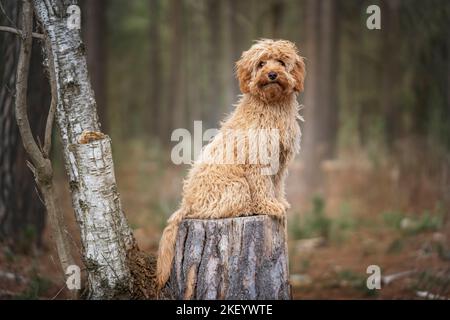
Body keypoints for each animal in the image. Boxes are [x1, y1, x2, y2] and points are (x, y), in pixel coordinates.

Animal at [156, 38, 308, 288]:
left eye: (281, 61)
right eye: (261, 63)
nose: (272, 74)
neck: (271, 106)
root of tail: (186, 202)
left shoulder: (280, 161)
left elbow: (276, 185)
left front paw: (279, 202)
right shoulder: (258, 160)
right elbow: (262, 186)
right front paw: (269, 206)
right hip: (237, 186)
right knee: (215, 211)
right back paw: (246, 209)